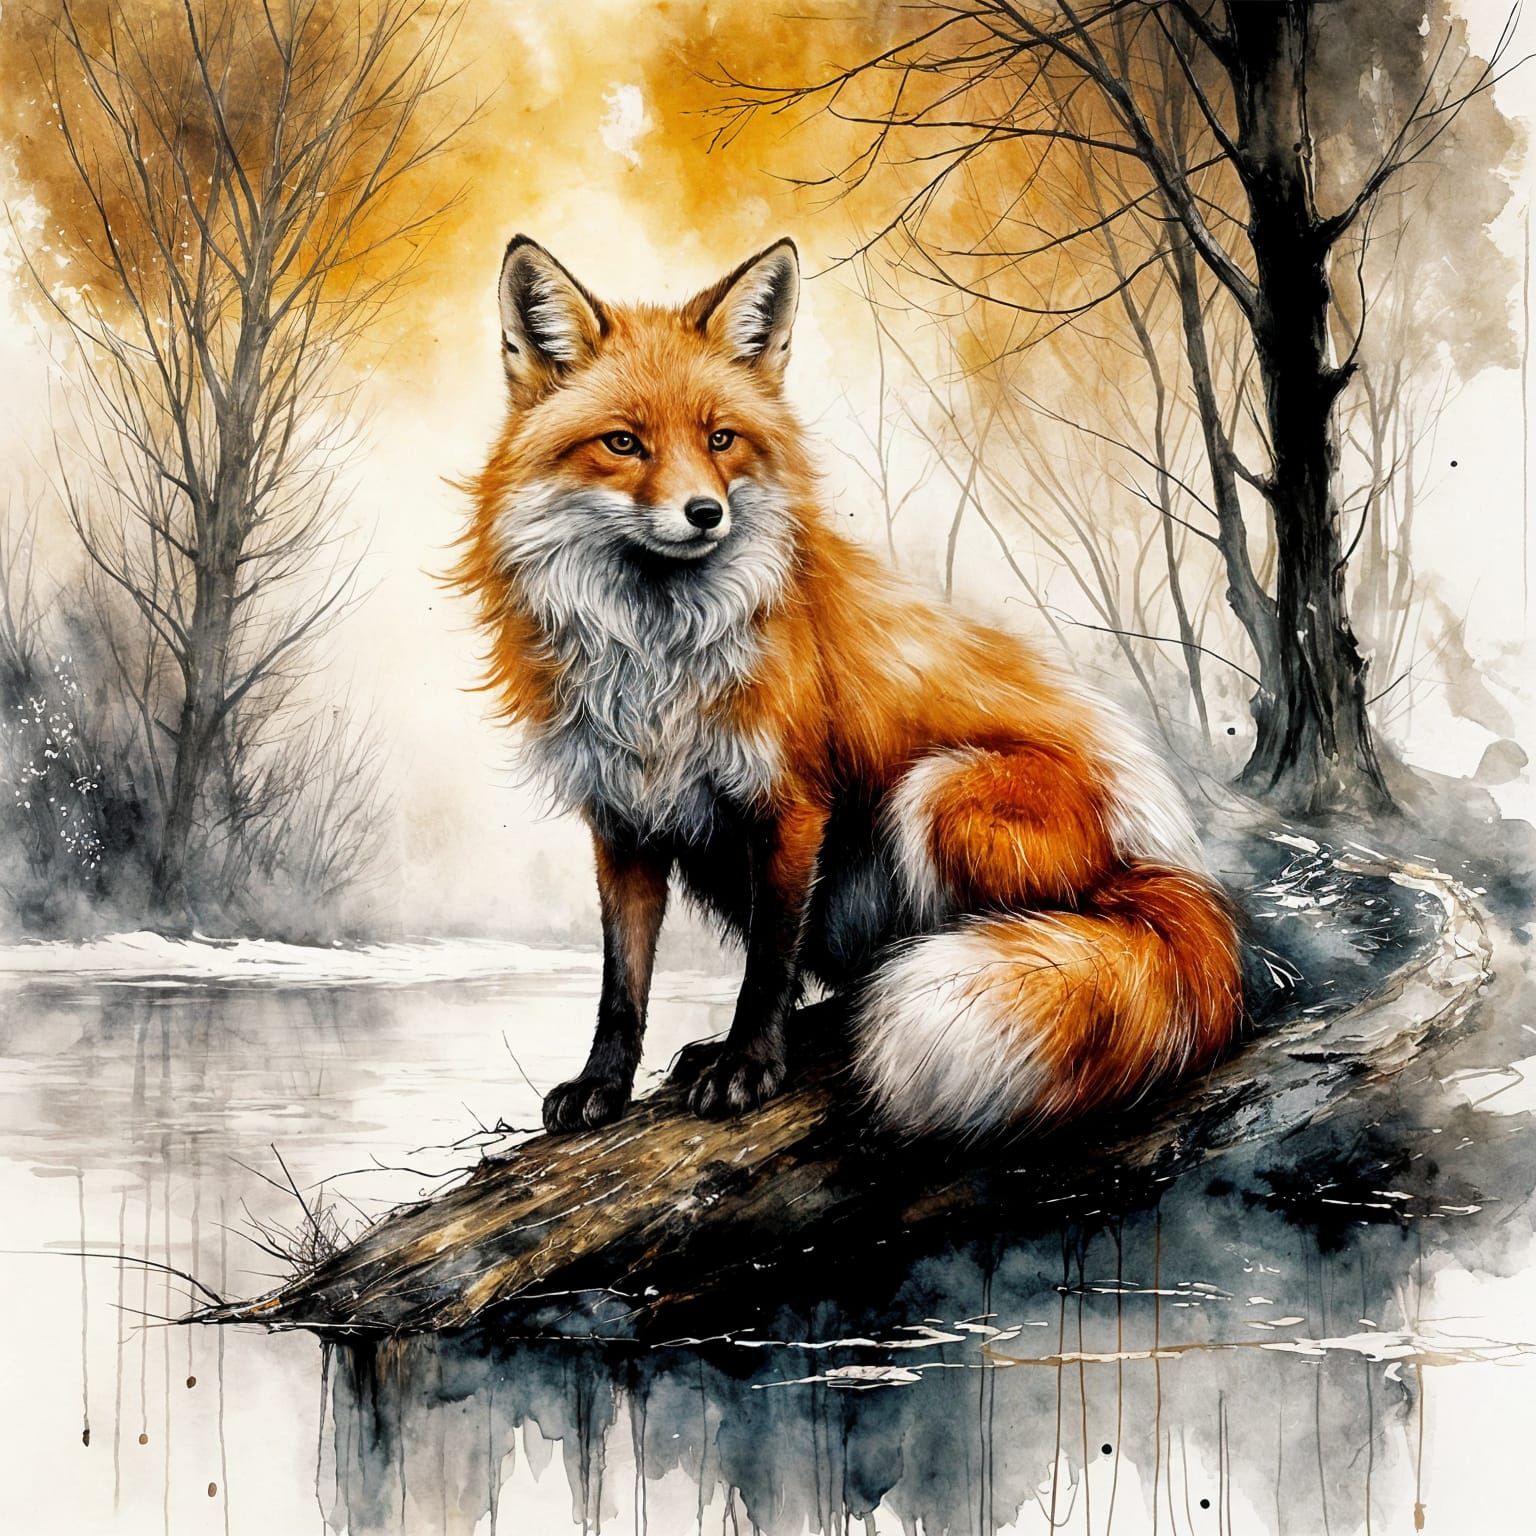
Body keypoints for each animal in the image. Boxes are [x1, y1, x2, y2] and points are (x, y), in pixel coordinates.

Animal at [454, 233, 1242, 1141]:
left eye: (721, 439)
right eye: (623, 444)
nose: (704, 513)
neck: (659, 658)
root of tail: (1162, 866)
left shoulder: (792, 804)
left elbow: (768, 963)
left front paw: (747, 1066)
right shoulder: (625, 821)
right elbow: (624, 985)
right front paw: (603, 1085)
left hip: (941, 794)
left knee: (974, 935)